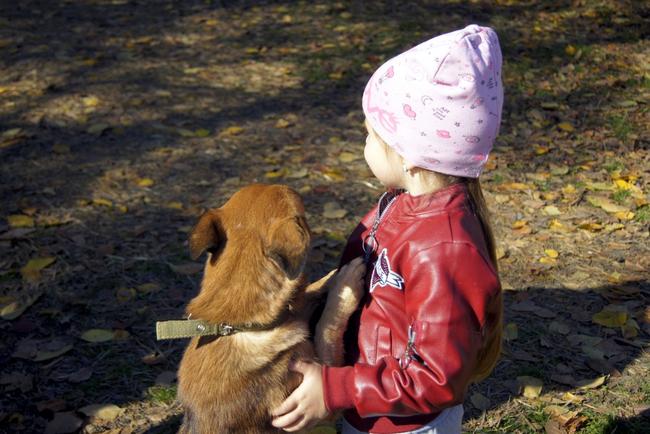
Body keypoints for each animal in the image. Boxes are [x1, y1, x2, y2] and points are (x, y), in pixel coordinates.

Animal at [172, 185, 360, 432]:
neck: (236, 324)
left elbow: (307, 292)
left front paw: (328, 279)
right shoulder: (317, 398)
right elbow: (328, 325)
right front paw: (345, 282)